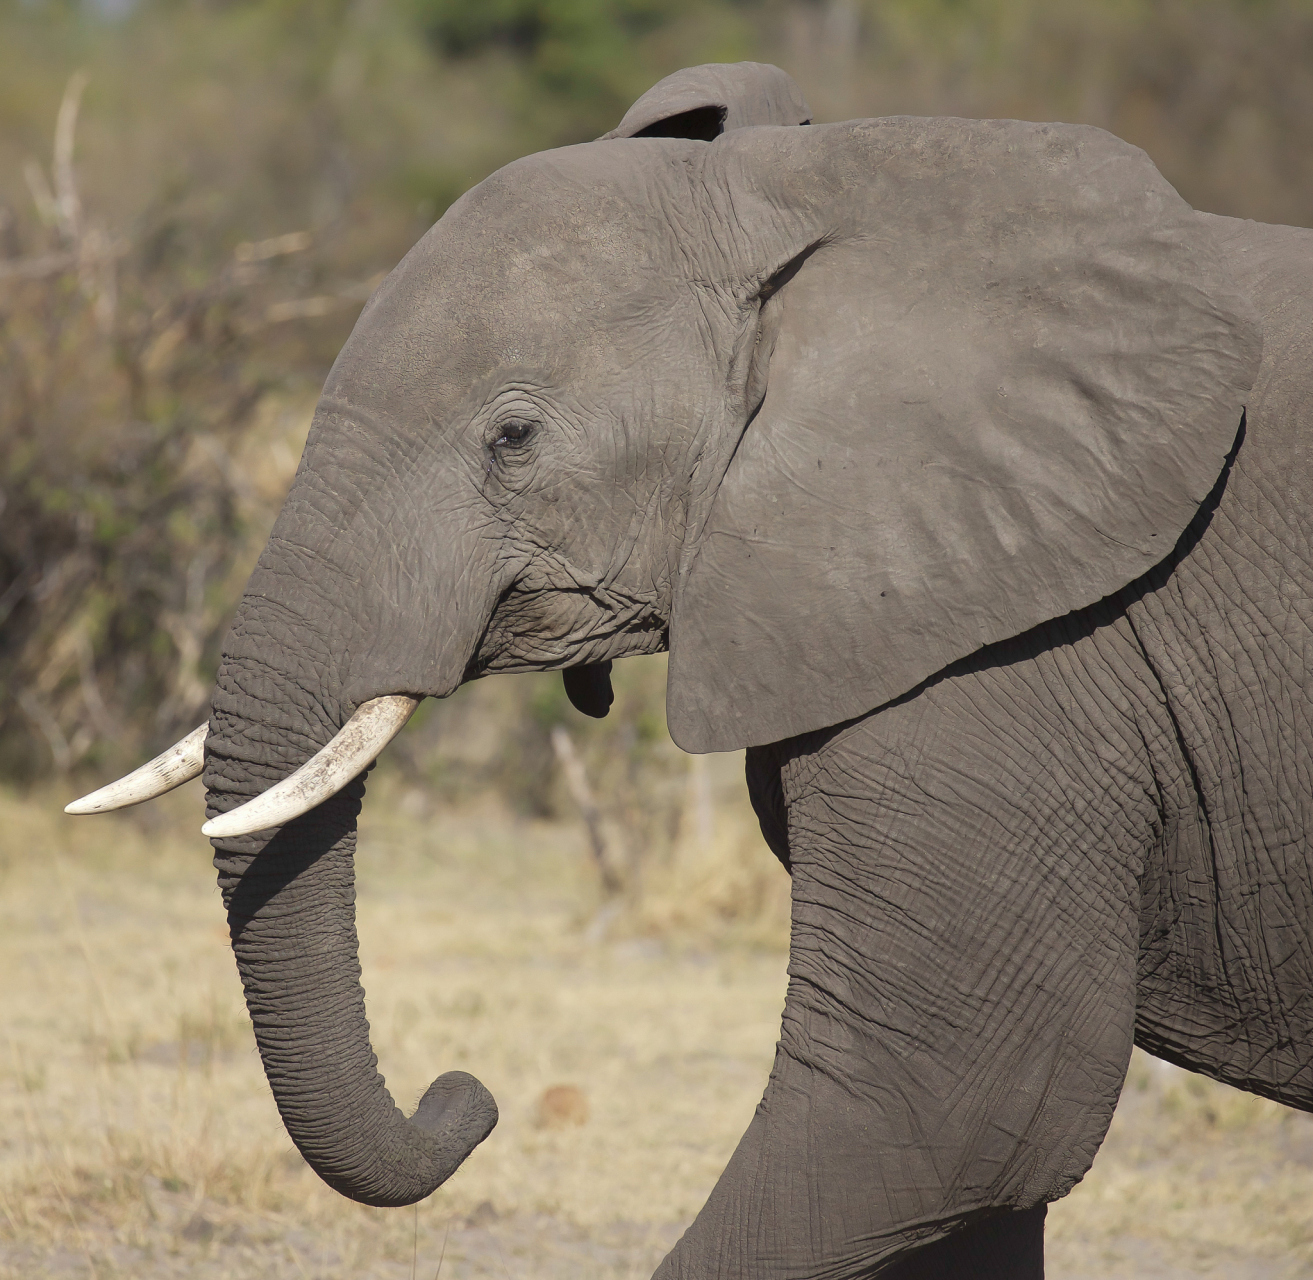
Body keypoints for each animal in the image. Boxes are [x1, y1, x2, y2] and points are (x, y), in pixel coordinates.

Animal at [66, 64, 1313, 1280]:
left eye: (512, 438)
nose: (466, 1094)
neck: (815, 191)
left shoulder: (1011, 645)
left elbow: (951, 1108)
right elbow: (966, 1187)